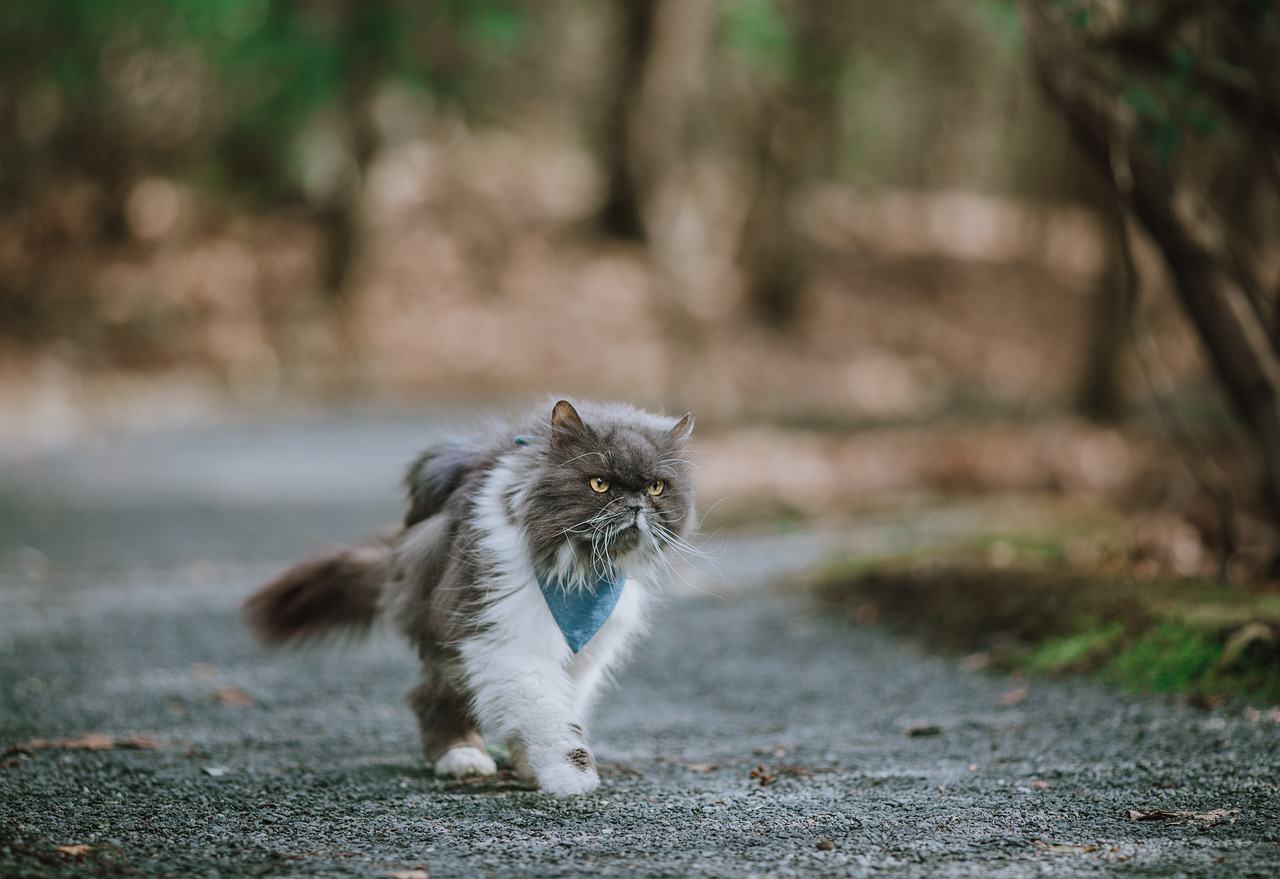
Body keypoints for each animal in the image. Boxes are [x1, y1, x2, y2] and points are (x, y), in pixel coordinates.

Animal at [243, 399, 696, 798]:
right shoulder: (506, 638)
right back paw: (461, 757)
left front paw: (530, 765)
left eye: (656, 488)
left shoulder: (586, 653)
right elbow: (552, 718)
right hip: (449, 627)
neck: (580, 573)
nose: (635, 505)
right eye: (599, 483)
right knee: (431, 698)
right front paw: (571, 779)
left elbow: (557, 709)